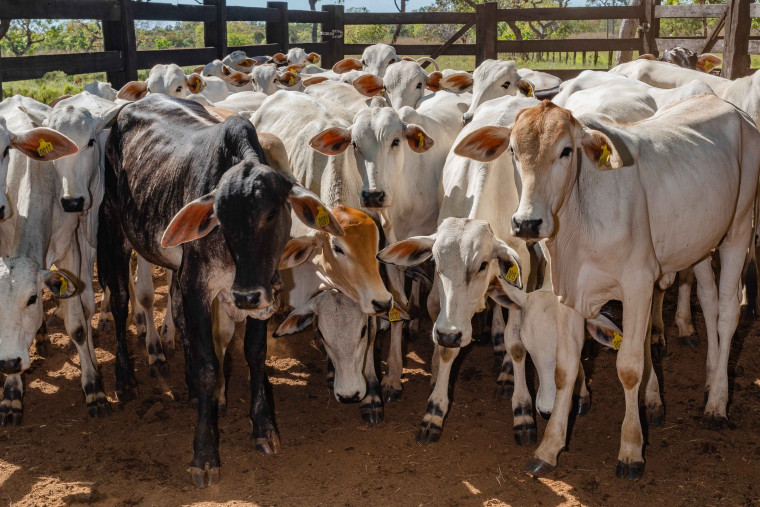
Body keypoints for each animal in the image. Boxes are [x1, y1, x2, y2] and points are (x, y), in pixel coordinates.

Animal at [98, 94, 342, 488]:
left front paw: (264, 428)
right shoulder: (198, 286)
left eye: (272, 213)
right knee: (121, 303)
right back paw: (125, 379)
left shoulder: (263, 292)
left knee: (177, 315)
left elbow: (255, 353)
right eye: (219, 219)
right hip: (114, 227)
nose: (245, 297)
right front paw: (205, 455)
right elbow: (209, 366)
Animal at [454, 94, 756, 480]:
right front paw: (549, 448)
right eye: (512, 150)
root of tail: (728, 105)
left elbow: (629, 366)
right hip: (700, 244)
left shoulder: (637, 283)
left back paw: (717, 403)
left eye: (566, 150)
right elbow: (566, 368)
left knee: (729, 313)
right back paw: (709, 377)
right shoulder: (568, 291)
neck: (579, 222)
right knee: (710, 300)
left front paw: (631, 450)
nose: (527, 223)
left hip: (738, 229)